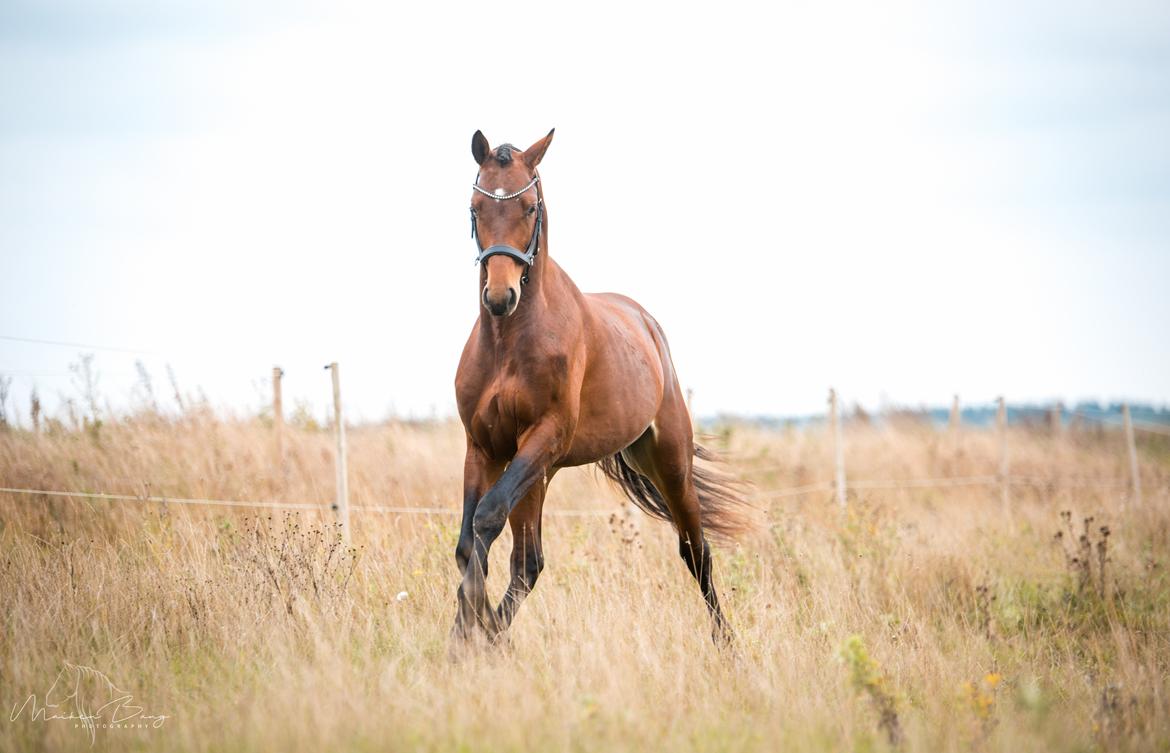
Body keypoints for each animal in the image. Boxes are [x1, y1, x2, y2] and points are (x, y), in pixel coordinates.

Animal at [451, 129, 753, 645]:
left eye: (528, 207)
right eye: (475, 207)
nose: (500, 296)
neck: (508, 343)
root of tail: (646, 323)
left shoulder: (543, 437)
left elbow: (486, 518)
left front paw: (470, 629)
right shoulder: (484, 447)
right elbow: (469, 542)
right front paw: (468, 631)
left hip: (666, 460)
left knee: (696, 550)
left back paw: (725, 642)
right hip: (542, 473)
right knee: (528, 564)